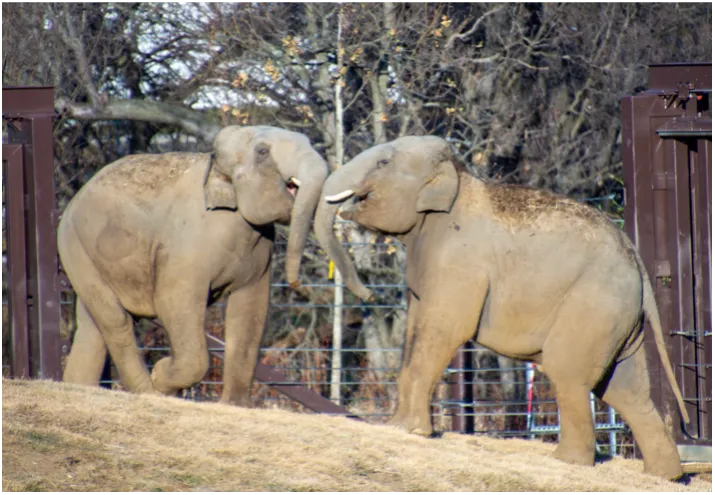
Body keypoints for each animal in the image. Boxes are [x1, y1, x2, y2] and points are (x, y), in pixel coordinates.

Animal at [59, 125, 328, 406]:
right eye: (263, 152)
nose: (298, 286)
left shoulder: (260, 252)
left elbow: (252, 307)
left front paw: (236, 406)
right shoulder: (185, 246)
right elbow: (173, 301)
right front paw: (161, 374)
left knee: (91, 327)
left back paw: (79, 389)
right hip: (74, 245)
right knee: (115, 320)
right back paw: (150, 391)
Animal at [313, 135, 690, 480]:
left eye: (383, 163)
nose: (367, 296)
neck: (457, 179)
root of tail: (637, 261)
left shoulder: (459, 261)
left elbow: (446, 327)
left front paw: (412, 431)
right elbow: (416, 328)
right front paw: (397, 426)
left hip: (593, 307)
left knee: (569, 373)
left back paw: (567, 462)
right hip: (620, 320)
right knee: (626, 391)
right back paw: (664, 476)